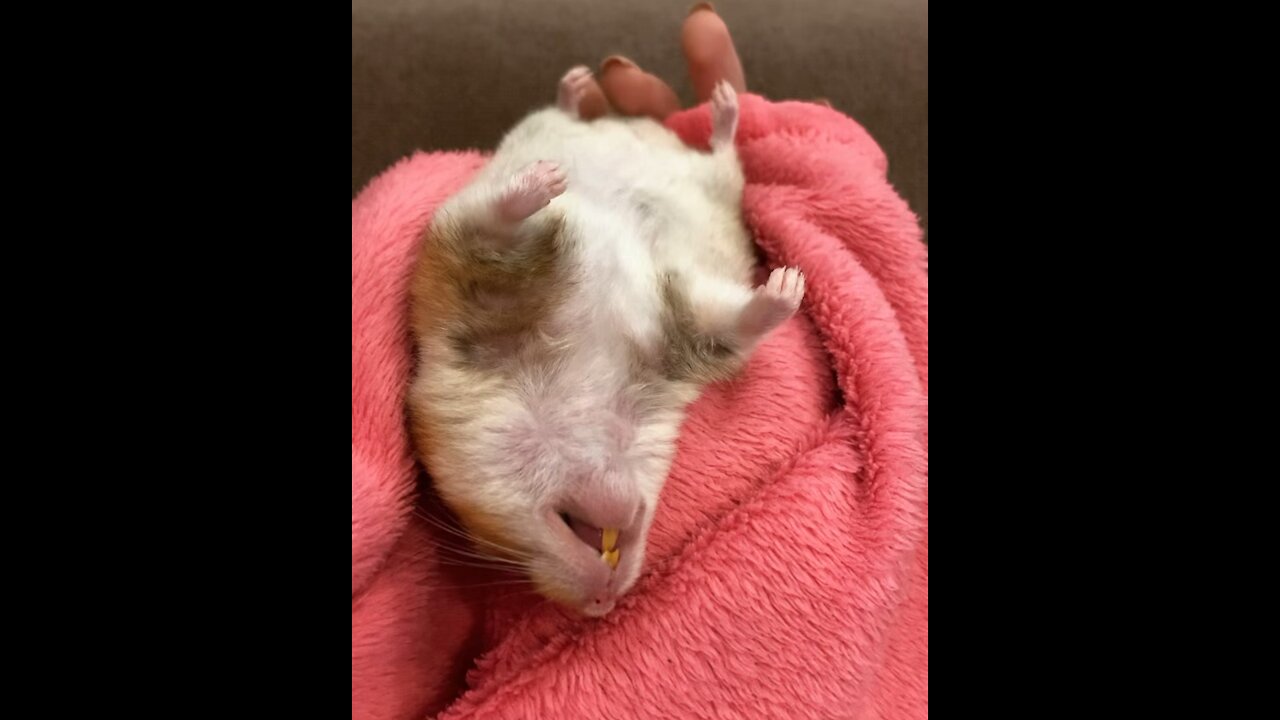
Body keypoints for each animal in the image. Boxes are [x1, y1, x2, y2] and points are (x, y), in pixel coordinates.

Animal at [407, 67, 798, 617]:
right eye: (481, 541)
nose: (603, 606)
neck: (592, 395)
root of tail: (626, 126)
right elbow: (735, 322)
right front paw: (789, 288)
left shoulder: (681, 321)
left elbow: (735, 322)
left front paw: (790, 284)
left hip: (714, 182)